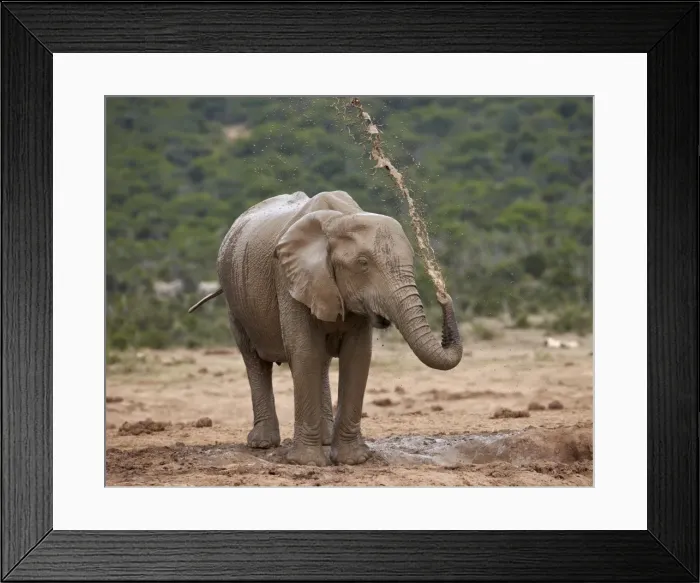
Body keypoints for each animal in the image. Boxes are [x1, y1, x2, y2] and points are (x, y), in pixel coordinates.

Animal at [189, 190, 463, 466]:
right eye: (363, 262)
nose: (442, 293)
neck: (339, 220)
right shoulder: (288, 278)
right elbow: (305, 351)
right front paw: (307, 462)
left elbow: (357, 356)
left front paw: (353, 460)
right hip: (234, 299)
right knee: (254, 358)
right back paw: (262, 443)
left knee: (320, 362)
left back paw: (326, 439)